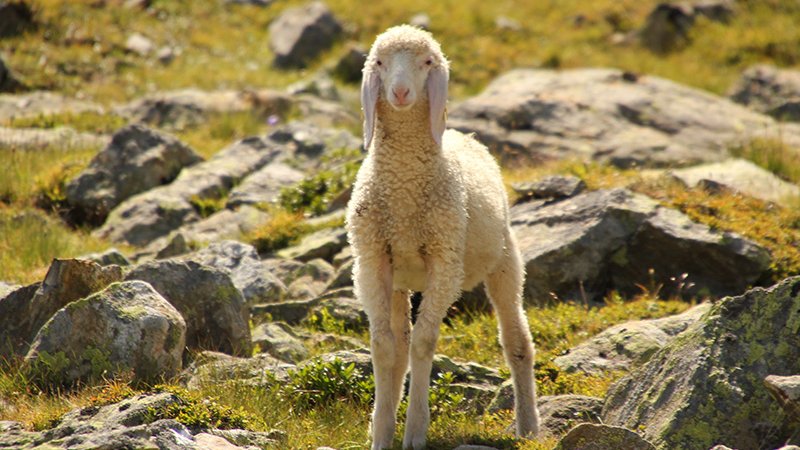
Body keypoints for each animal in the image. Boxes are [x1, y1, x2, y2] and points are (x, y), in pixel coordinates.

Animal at [346, 25, 540, 450]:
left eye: (427, 62)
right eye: (379, 62)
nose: (401, 92)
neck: (403, 186)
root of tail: (464, 136)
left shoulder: (445, 262)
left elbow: (424, 343)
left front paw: (416, 431)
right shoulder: (371, 261)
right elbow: (385, 347)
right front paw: (381, 432)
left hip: (505, 262)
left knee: (517, 343)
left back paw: (529, 426)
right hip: (400, 278)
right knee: (399, 345)